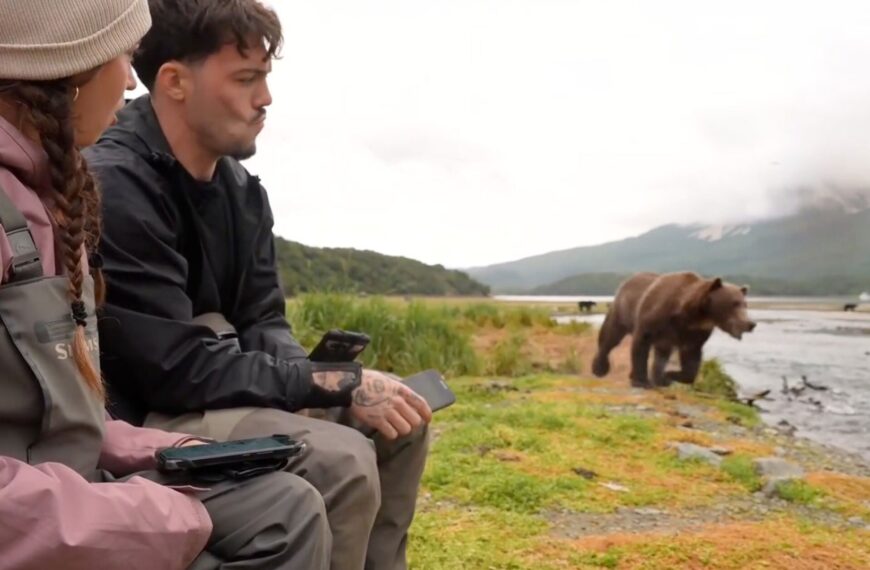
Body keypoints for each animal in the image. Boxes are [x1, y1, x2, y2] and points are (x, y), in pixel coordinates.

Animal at [591, 271, 756, 388]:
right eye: (734, 303)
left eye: (745, 304)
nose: (750, 323)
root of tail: (628, 279)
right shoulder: (655, 315)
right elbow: (641, 342)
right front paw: (641, 381)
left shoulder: (694, 333)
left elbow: (691, 360)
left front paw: (668, 375)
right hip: (622, 310)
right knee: (611, 335)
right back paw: (599, 368)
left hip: (664, 338)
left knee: (661, 354)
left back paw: (657, 378)